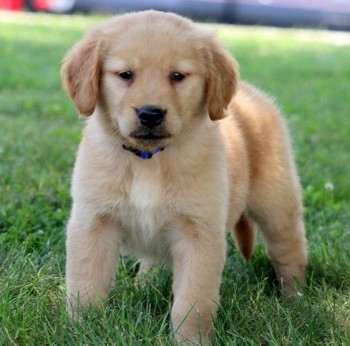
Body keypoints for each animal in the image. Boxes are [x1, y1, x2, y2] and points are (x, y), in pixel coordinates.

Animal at [61, 10, 308, 344]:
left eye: (177, 76)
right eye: (125, 74)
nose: (150, 114)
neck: (148, 159)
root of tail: (250, 94)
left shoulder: (199, 234)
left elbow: (193, 302)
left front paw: (191, 340)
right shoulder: (92, 223)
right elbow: (85, 286)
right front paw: (82, 329)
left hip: (275, 202)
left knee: (288, 248)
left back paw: (296, 299)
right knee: (153, 259)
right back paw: (145, 284)